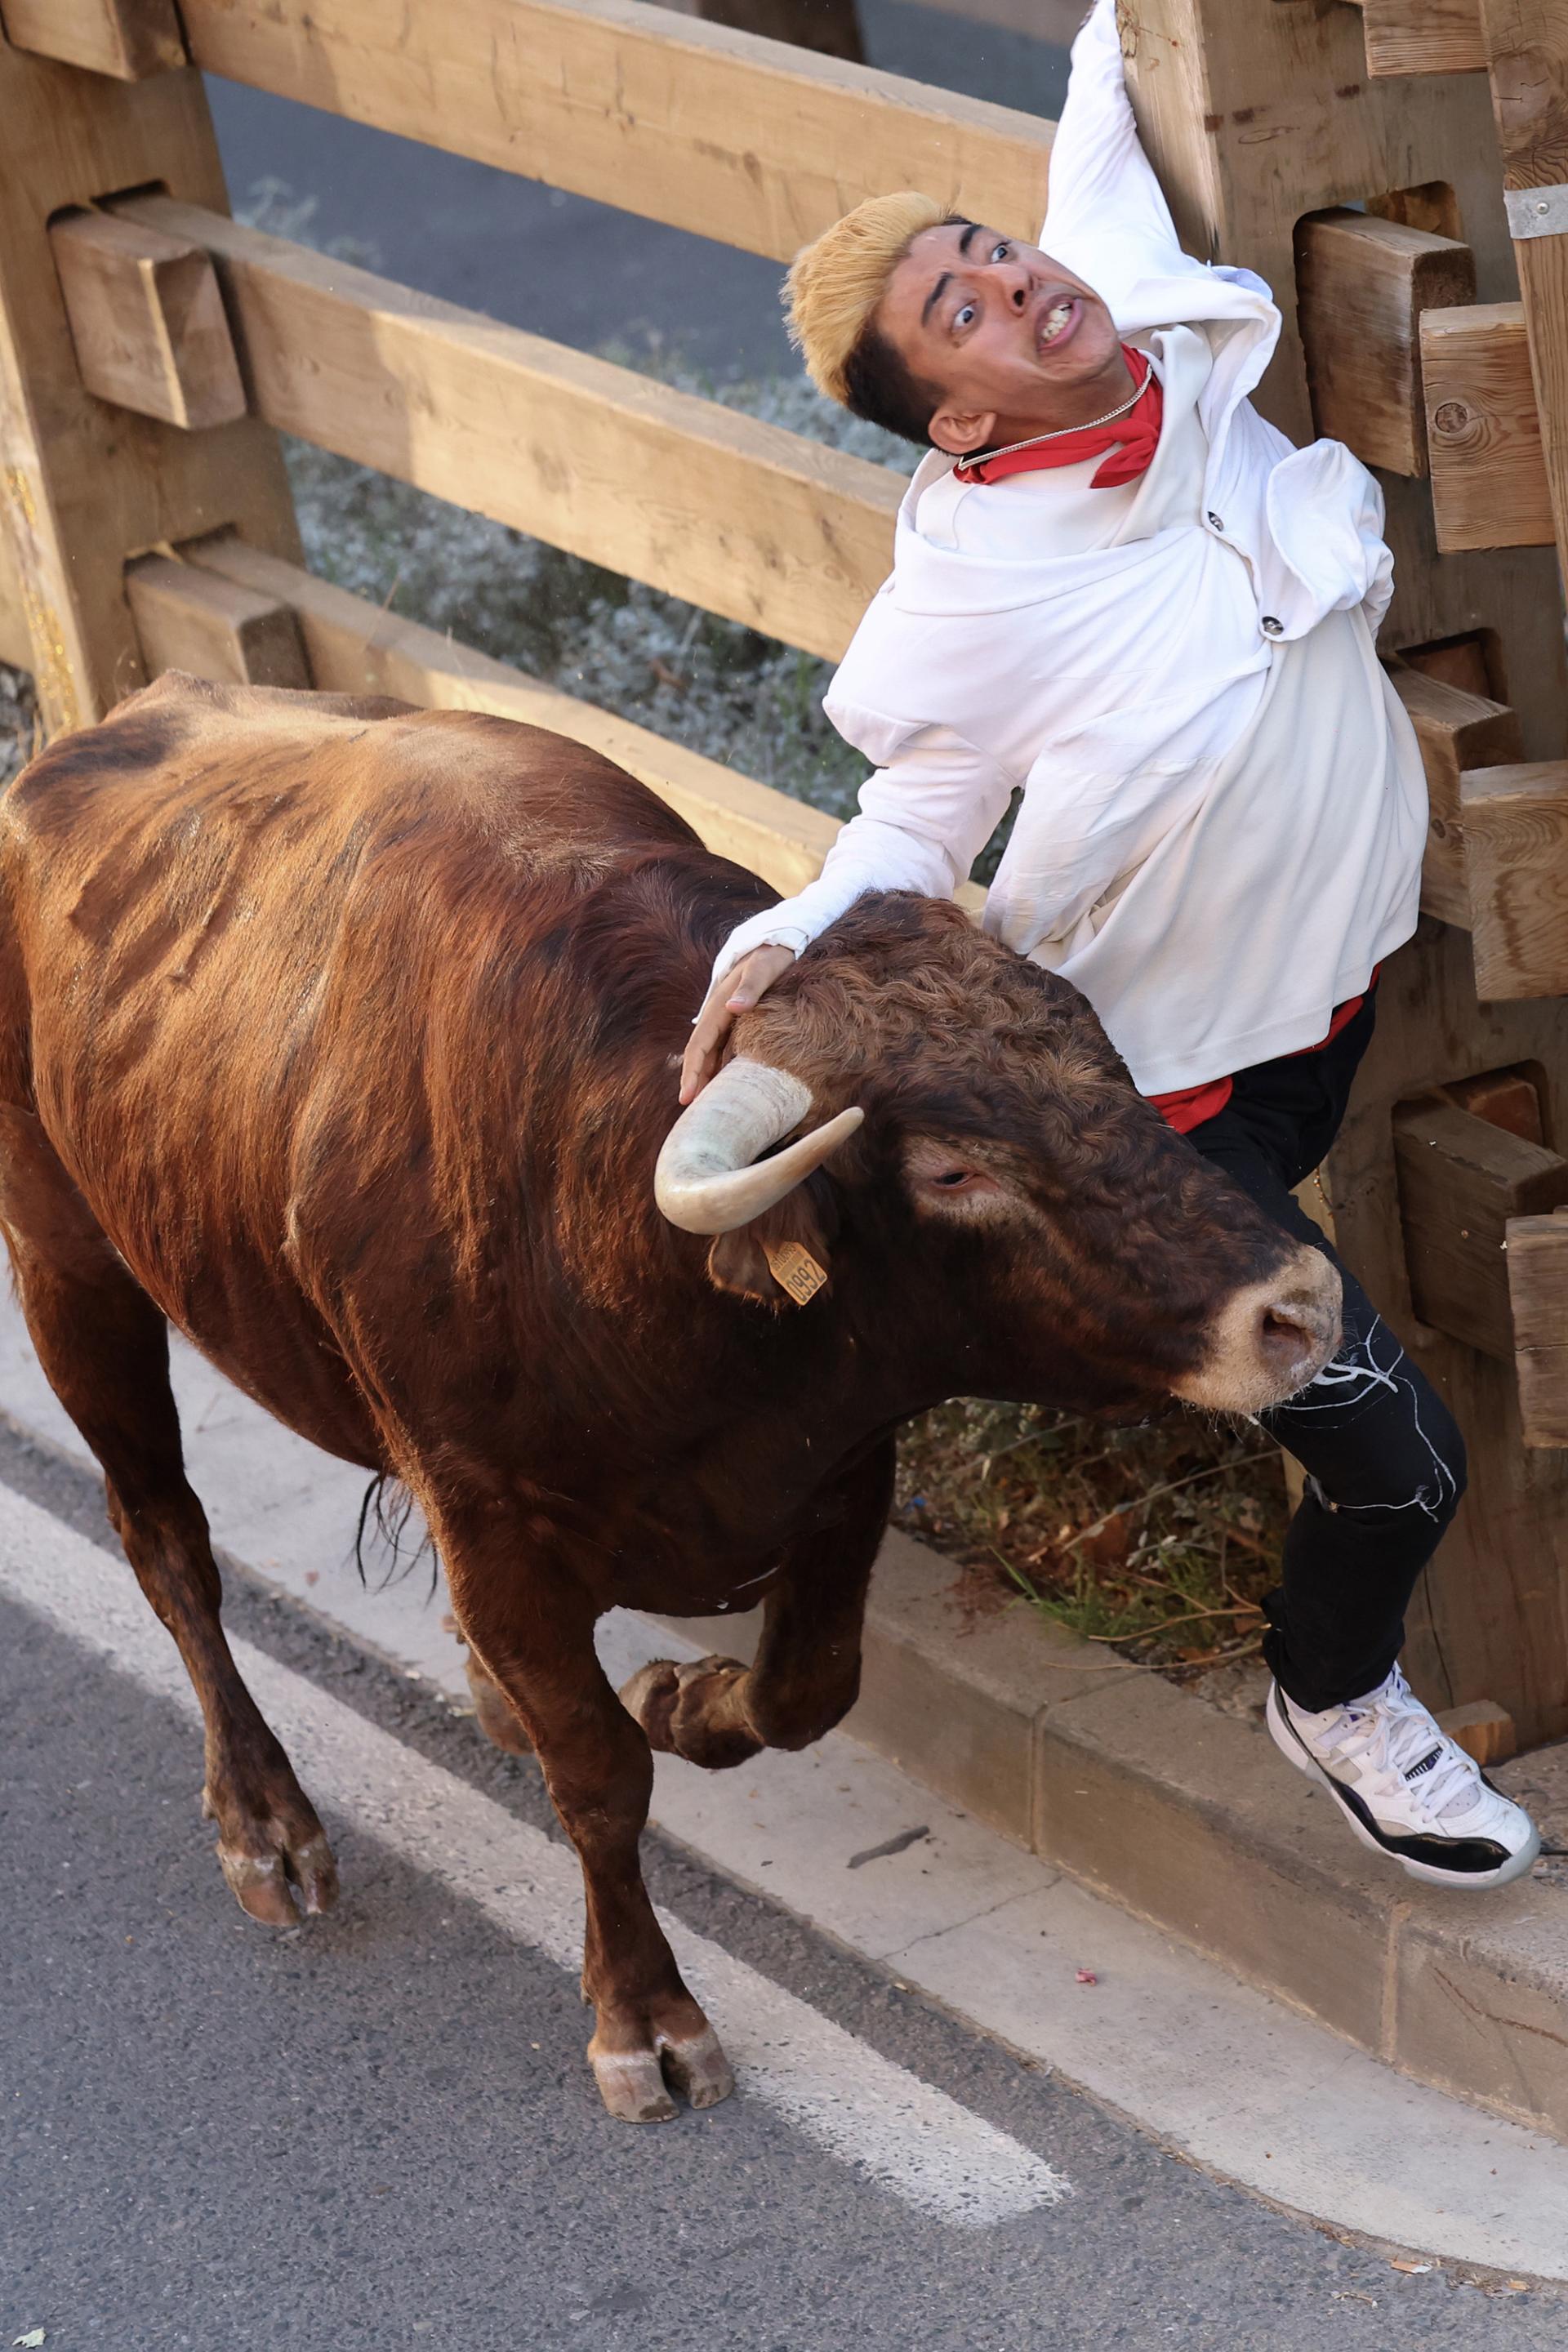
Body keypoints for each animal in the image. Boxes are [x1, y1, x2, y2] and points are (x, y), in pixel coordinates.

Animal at [0, 672, 1344, 2126]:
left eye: (1109, 1069)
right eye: (951, 1171)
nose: (1297, 1307)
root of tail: (93, 733)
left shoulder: (842, 1471)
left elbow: (805, 1689)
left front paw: (683, 1698)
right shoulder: (490, 1526)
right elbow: (598, 1776)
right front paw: (642, 2014)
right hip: (67, 1258)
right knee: (166, 1542)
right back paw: (264, 1821)